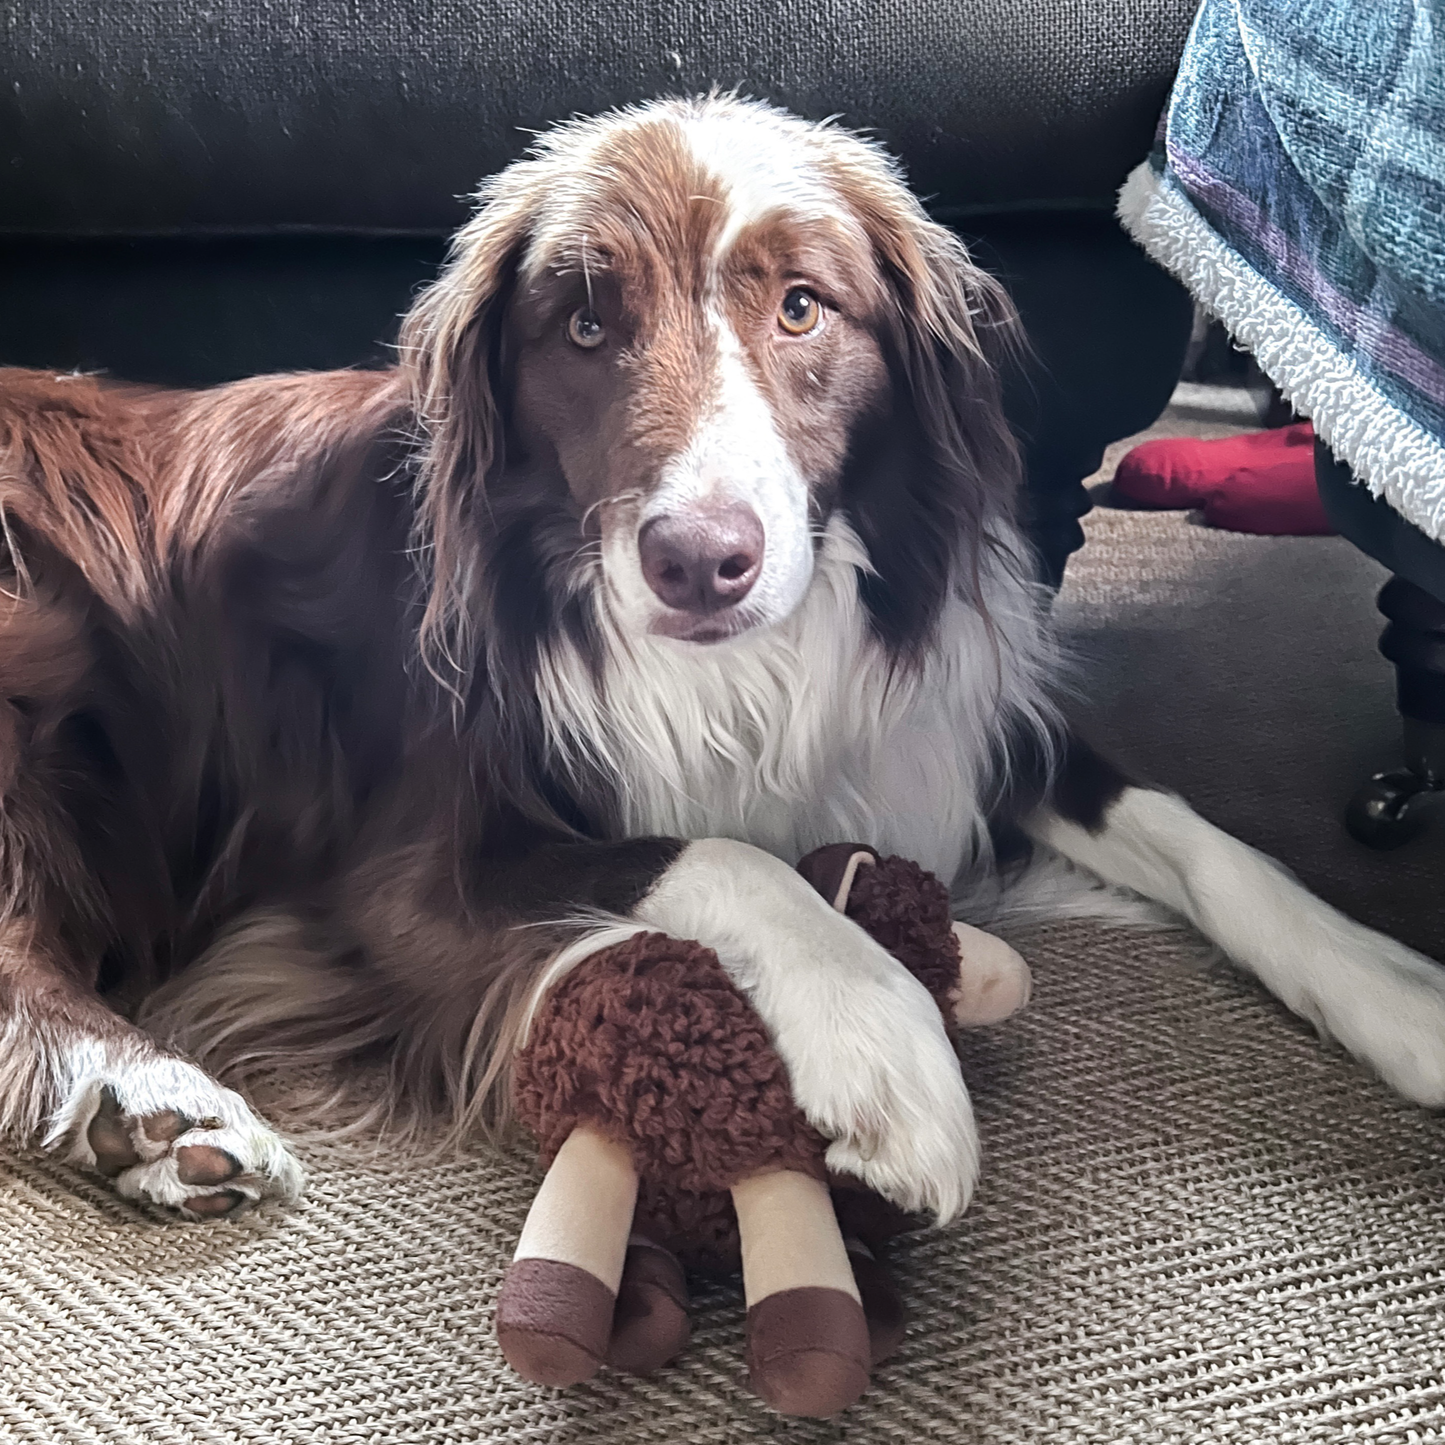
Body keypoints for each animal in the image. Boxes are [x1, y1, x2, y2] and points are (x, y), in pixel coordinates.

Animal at [2, 93, 1445, 1219]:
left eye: (803, 308)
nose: (699, 561)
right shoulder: (397, 873)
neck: (752, 662)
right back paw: (148, 1097)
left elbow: (1203, 837)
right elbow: (717, 848)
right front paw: (880, 1037)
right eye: (584, 326)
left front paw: (1395, 988)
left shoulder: (941, 711)